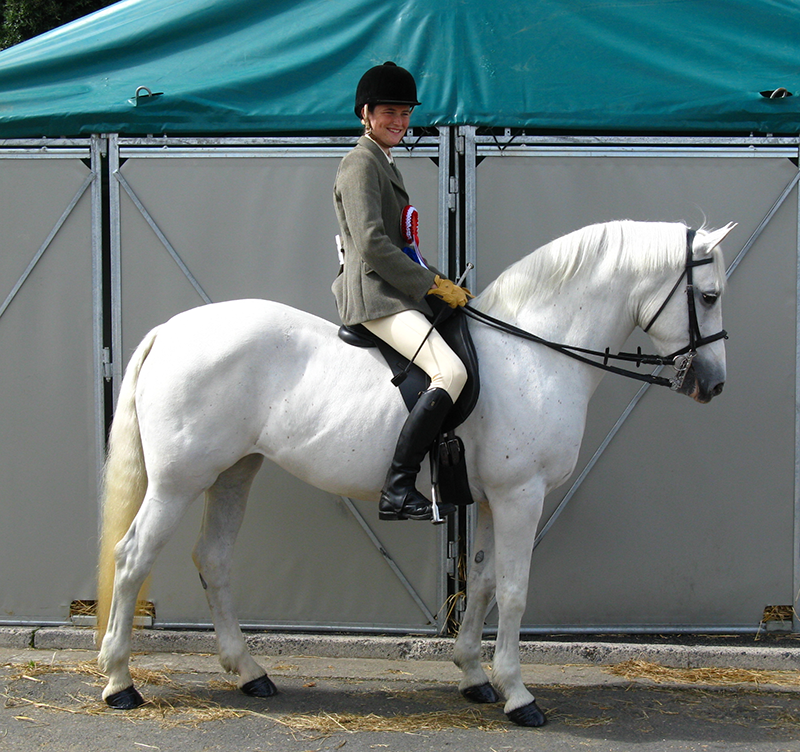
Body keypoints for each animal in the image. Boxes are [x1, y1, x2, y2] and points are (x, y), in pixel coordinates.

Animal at [94, 220, 732, 724]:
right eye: (708, 295)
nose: (714, 384)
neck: (533, 354)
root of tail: (170, 331)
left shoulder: (496, 498)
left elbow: (486, 581)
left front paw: (474, 677)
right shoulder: (521, 495)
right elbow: (516, 590)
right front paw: (519, 696)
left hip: (234, 471)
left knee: (214, 558)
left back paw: (250, 673)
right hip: (178, 482)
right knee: (133, 557)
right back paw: (119, 682)